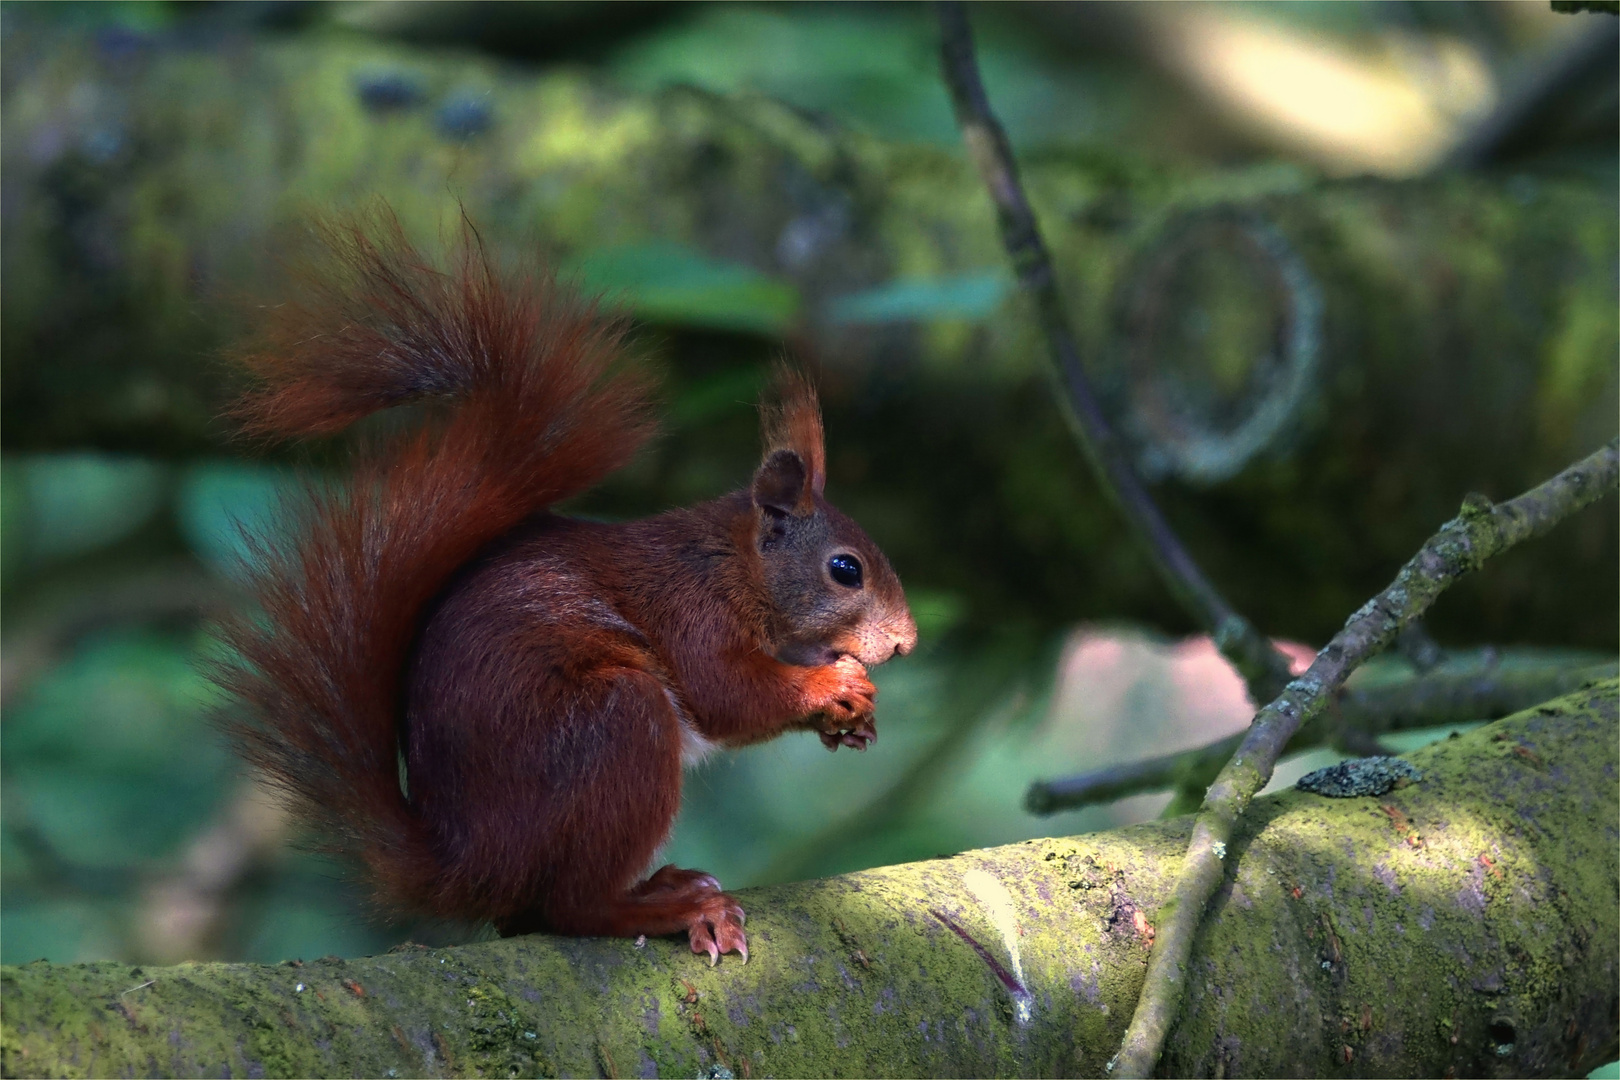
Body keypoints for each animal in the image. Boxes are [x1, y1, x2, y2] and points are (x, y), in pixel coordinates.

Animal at [215, 216, 920, 965]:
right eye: (846, 570)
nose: (905, 642)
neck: (730, 565)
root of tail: (469, 865)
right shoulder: (691, 611)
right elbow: (727, 693)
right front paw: (831, 688)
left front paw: (856, 722)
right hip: (615, 728)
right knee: (570, 906)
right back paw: (672, 907)